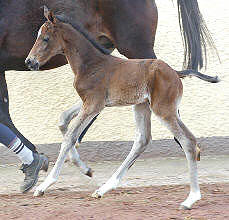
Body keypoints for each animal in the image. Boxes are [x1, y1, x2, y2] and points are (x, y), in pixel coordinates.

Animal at [25, 7, 218, 210]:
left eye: (45, 38)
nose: (29, 61)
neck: (90, 64)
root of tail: (175, 72)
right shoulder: (92, 102)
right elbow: (63, 120)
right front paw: (84, 168)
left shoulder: (93, 104)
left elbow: (70, 136)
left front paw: (44, 185)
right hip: (143, 106)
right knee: (144, 140)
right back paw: (103, 189)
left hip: (163, 109)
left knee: (187, 141)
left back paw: (191, 198)